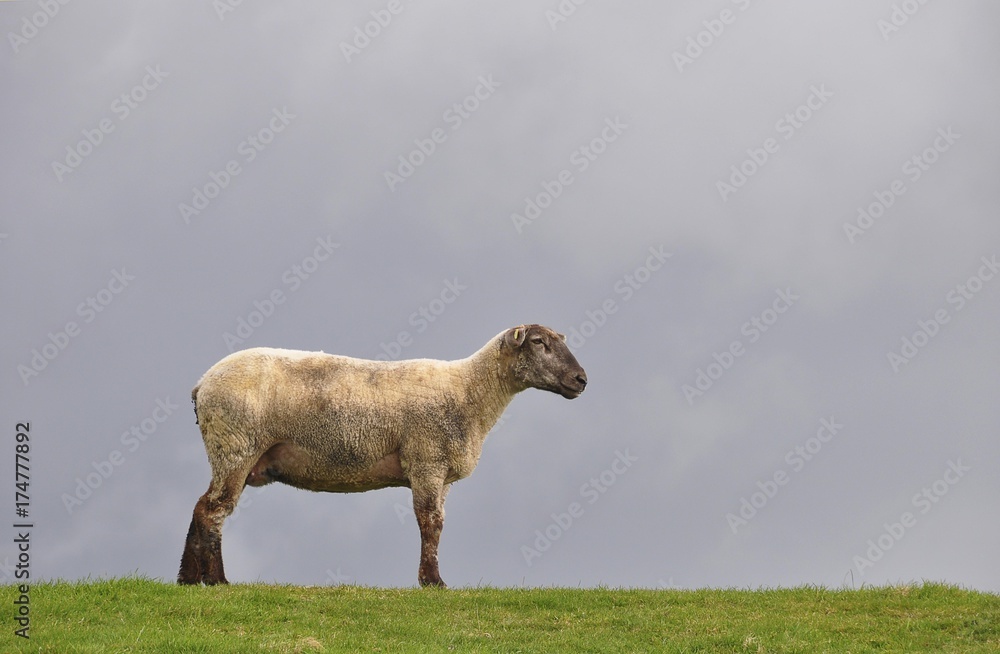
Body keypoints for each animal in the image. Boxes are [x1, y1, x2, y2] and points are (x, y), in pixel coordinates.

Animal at [178, 324, 587, 587]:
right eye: (538, 341)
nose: (581, 380)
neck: (470, 390)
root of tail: (202, 383)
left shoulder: (442, 474)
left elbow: (438, 522)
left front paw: (431, 577)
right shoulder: (427, 459)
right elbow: (430, 522)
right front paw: (433, 581)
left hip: (229, 449)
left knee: (201, 507)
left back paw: (187, 578)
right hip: (235, 445)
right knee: (214, 510)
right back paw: (217, 580)